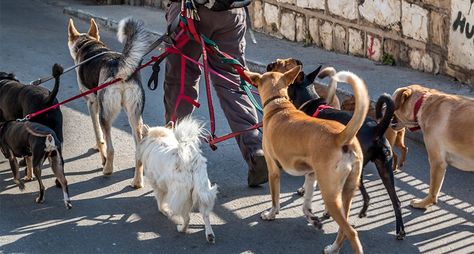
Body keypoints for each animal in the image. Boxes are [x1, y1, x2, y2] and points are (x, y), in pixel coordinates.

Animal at [66, 17, 150, 188]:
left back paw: (107, 168)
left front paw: (101, 153)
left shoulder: (92, 104)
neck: (88, 43)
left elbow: (98, 135)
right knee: (138, 152)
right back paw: (137, 182)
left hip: (105, 116)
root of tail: (121, 66)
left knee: (111, 149)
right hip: (135, 119)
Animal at [246, 67, 368, 254]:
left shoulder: (273, 169)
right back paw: (334, 247)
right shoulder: (311, 175)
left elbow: (275, 199)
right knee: (343, 229)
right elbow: (306, 205)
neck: (278, 104)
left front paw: (270, 214)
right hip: (347, 192)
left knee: (351, 232)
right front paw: (312, 218)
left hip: (330, 195)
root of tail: (340, 137)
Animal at [268, 58, 406, 239]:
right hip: (384, 169)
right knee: (395, 200)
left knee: (361, 196)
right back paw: (398, 229)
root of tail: (377, 129)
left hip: (358, 171)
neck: (309, 100)